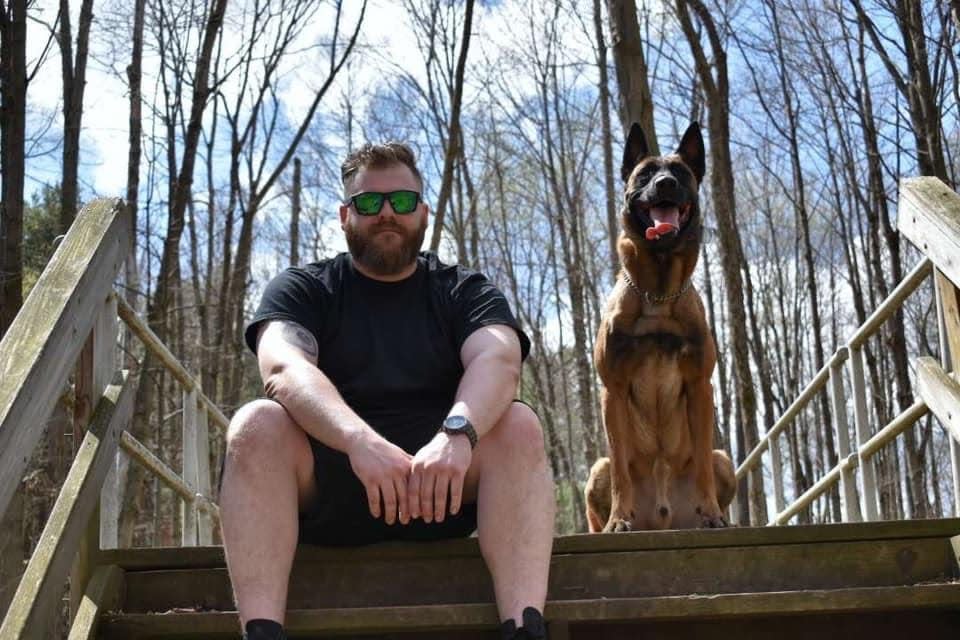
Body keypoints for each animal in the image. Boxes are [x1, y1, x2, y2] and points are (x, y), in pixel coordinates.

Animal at [584, 122, 736, 532]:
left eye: (680, 173)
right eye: (645, 174)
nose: (665, 184)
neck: (658, 293)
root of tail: (664, 517)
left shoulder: (700, 387)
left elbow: (701, 464)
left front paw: (712, 514)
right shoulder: (612, 390)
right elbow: (620, 471)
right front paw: (619, 519)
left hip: (725, 460)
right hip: (596, 470)